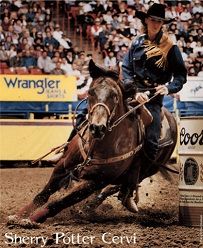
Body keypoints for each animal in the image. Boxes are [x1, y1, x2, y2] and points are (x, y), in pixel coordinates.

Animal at [10, 60, 176, 225]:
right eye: (90, 92)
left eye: (115, 95)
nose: (97, 127)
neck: (96, 146)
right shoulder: (63, 165)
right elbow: (43, 194)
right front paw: (19, 215)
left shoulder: (96, 181)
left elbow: (59, 203)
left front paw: (32, 218)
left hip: (145, 170)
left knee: (118, 187)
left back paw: (99, 205)